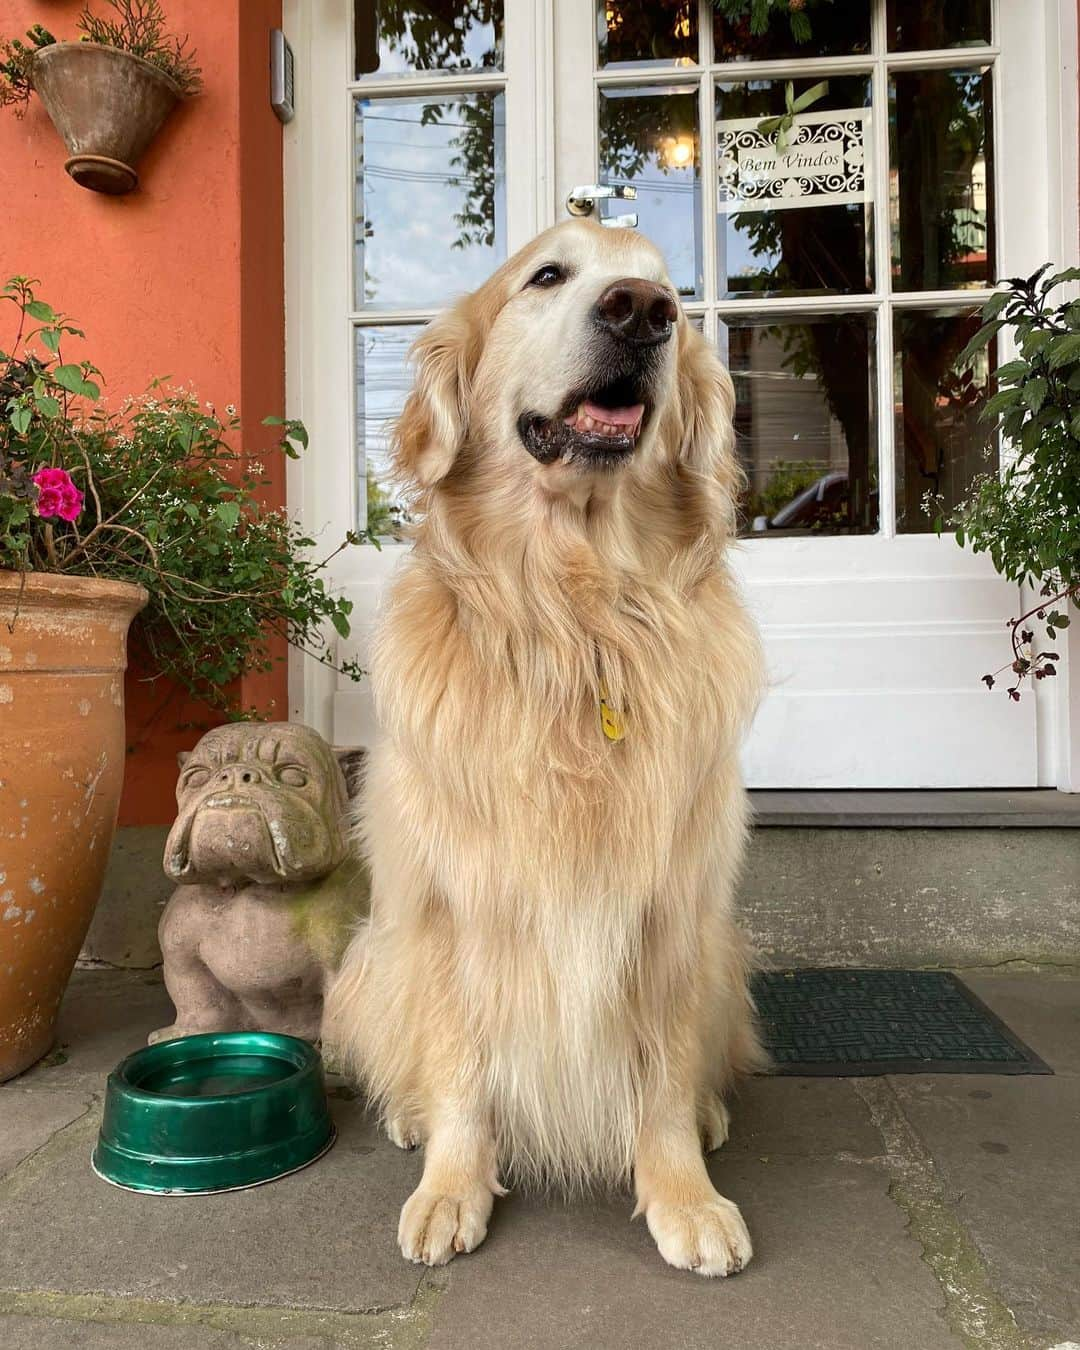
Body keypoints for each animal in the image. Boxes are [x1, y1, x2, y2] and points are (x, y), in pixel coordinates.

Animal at [325, 218, 761, 1274]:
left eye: (667, 291)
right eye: (547, 276)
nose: (641, 314)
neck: (578, 615)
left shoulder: (672, 908)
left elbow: (664, 1071)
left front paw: (683, 1192)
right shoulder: (450, 905)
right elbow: (460, 1063)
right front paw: (452, 1185)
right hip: (374, 954)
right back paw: (410, 1118)